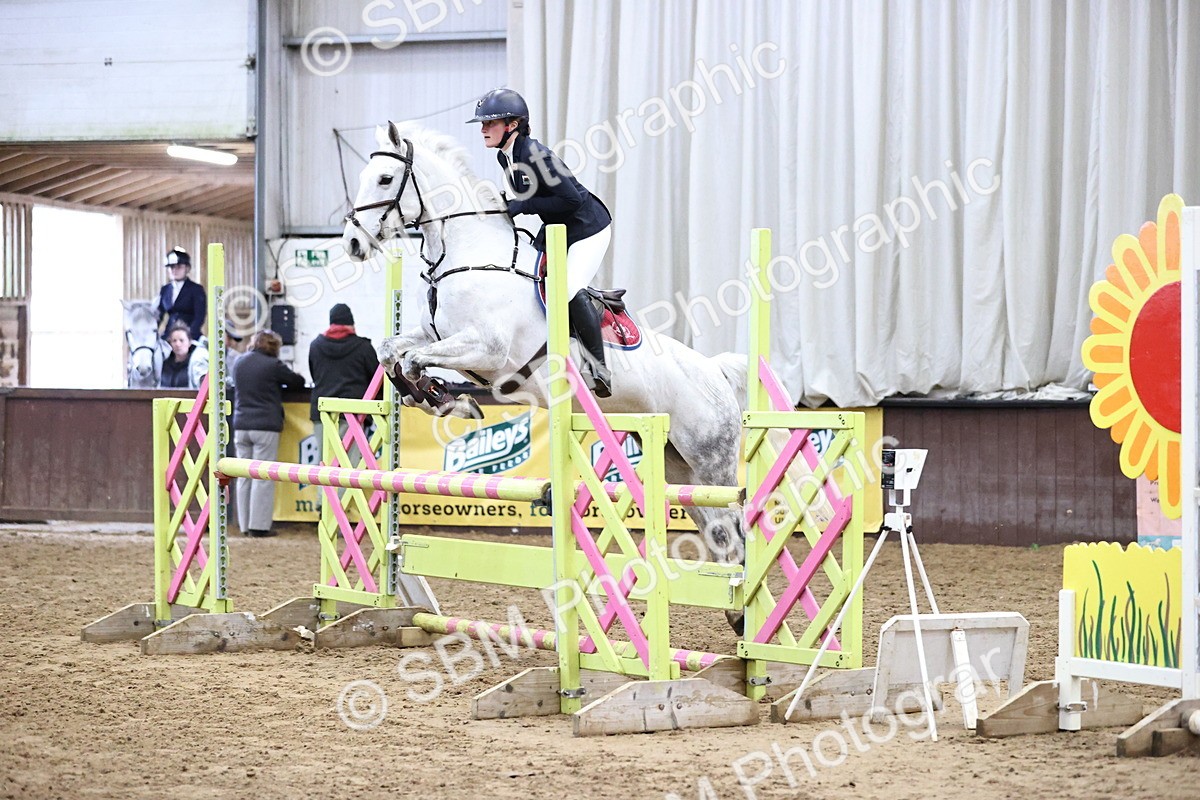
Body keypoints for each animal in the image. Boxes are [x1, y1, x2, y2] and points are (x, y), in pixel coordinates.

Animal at [342, 121, 751, 568]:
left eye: (384, 179)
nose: (352, 244)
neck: (469, 253)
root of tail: (716, 371)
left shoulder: (487, 348)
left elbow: (414, 359)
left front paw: (446, 399)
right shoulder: (437, 335)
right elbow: (390, 350)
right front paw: (436, 396)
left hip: (711, 461)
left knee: (734, 528)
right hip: (677, 464)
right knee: (717, 530)